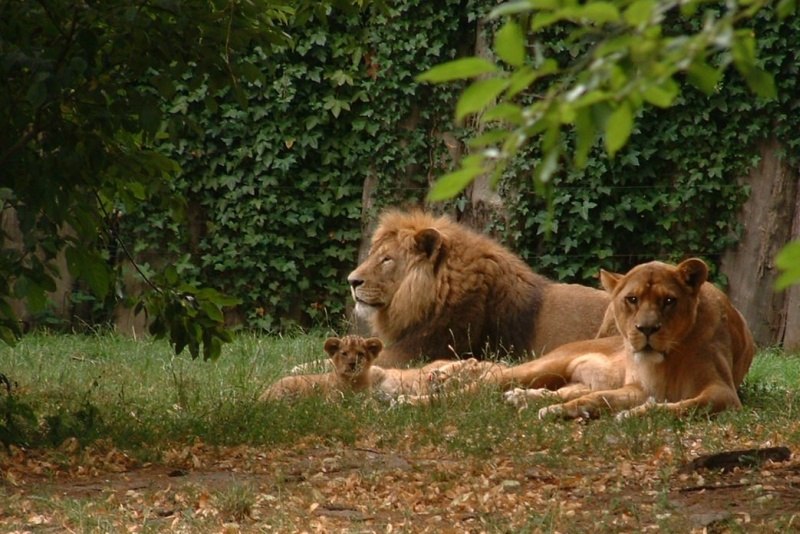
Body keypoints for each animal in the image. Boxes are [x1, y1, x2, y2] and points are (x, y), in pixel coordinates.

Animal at [434, 258, 752, 420]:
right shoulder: (639, 387)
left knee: (562, 391)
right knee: (481, 384)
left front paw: (635, 414)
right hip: (543, 366)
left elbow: (689, 405)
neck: (668, 359)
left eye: (669, 301)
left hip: (576, 380)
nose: (646, 329)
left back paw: (527, 400)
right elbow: (605, 399)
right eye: (632, 299)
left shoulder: (723, 392)